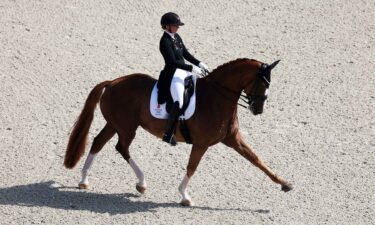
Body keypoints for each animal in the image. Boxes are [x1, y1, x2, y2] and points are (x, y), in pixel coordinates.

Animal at [64, 57, 294, 206]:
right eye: (263, 83)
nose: (258, 109)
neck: (217, 97)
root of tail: (112, 83)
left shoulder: (233, 139)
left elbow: (257, 160)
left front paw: (285, 184)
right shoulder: (201, 143)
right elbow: (192, 167)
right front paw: (184, 196)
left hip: (115, 124)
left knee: (98, 143)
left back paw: (84, 181)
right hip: (127, 128)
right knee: (121, 147)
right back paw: (141, 183)